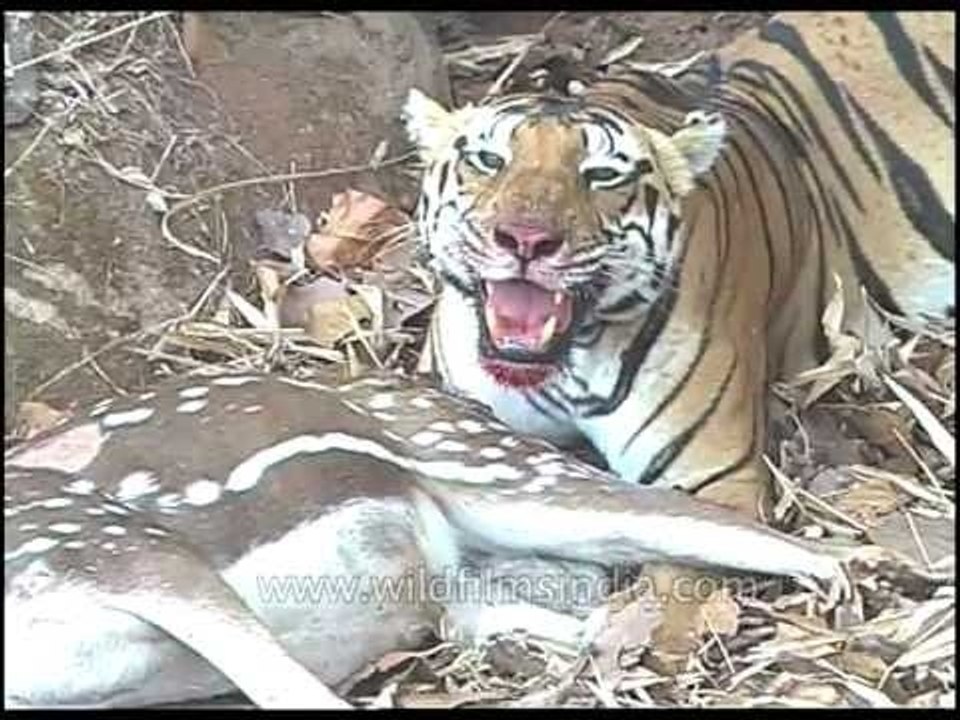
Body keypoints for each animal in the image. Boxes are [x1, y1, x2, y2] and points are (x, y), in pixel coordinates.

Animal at [402, 12, 954, 669]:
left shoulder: (713, 478)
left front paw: (640, 635)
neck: (565, 367)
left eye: (601, 176)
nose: (525, 239)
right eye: (488, 160)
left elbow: (681, 564)